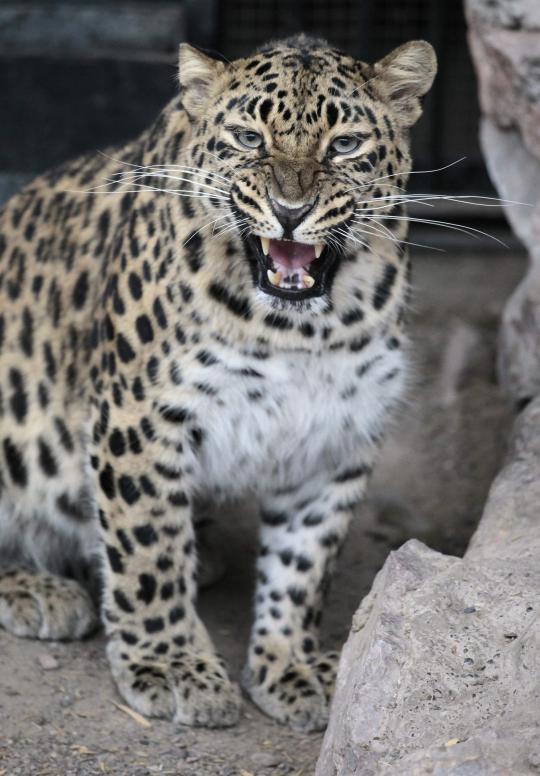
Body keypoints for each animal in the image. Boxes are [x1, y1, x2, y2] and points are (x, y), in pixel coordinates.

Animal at [0, 34, 436, 732]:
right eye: (248, 137)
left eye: (344, 144)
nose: (290, 212)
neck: (296, 331)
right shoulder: (140, 417)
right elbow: (149, 549)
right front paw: (173, 665)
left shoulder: (337, 435)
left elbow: (304, 564)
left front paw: (291, 665)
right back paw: (41, 589)